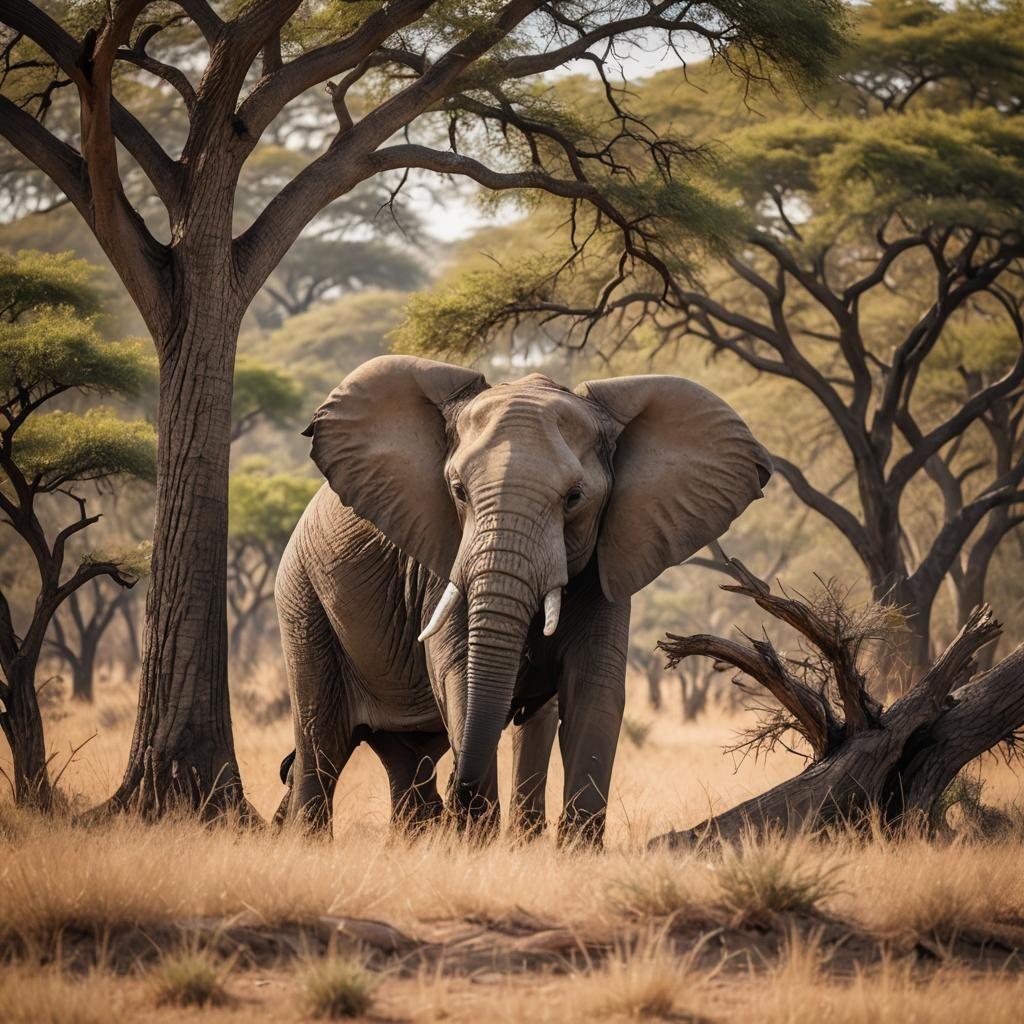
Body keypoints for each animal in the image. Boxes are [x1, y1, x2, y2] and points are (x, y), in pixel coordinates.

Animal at [274, 354, 771, 844]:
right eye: (458, 491)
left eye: (574, 498)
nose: (460, 795)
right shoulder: (442, 554)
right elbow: (458, 671)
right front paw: (477, 840)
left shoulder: (609, 556)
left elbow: (595, 685)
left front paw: (575, 850)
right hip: (302, 597)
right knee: (322, 737)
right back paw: (312, 838)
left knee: (409, 754)